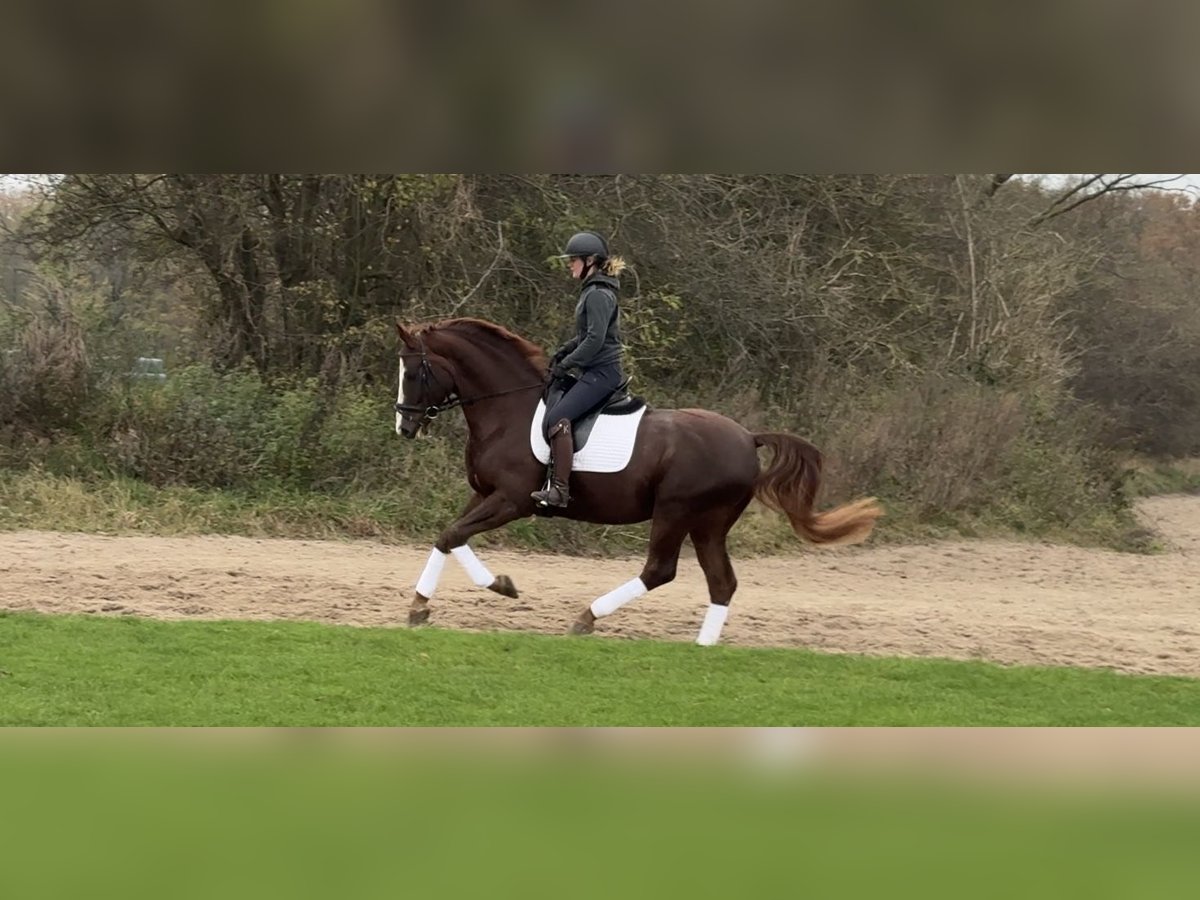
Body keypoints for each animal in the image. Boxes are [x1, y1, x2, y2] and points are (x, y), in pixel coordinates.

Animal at [393, 316, 883, 648]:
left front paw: (455, 597)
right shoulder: (483, 493)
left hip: (675, 511)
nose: (404, 427)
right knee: (721, 582)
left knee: (660, 571)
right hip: (709, 524)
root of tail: (748, 437)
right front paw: (462, 594)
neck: (506, 409)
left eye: (414, 373)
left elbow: (452, 535)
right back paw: (703, 648)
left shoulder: (513, 500)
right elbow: (450, 536)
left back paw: (587, 618)